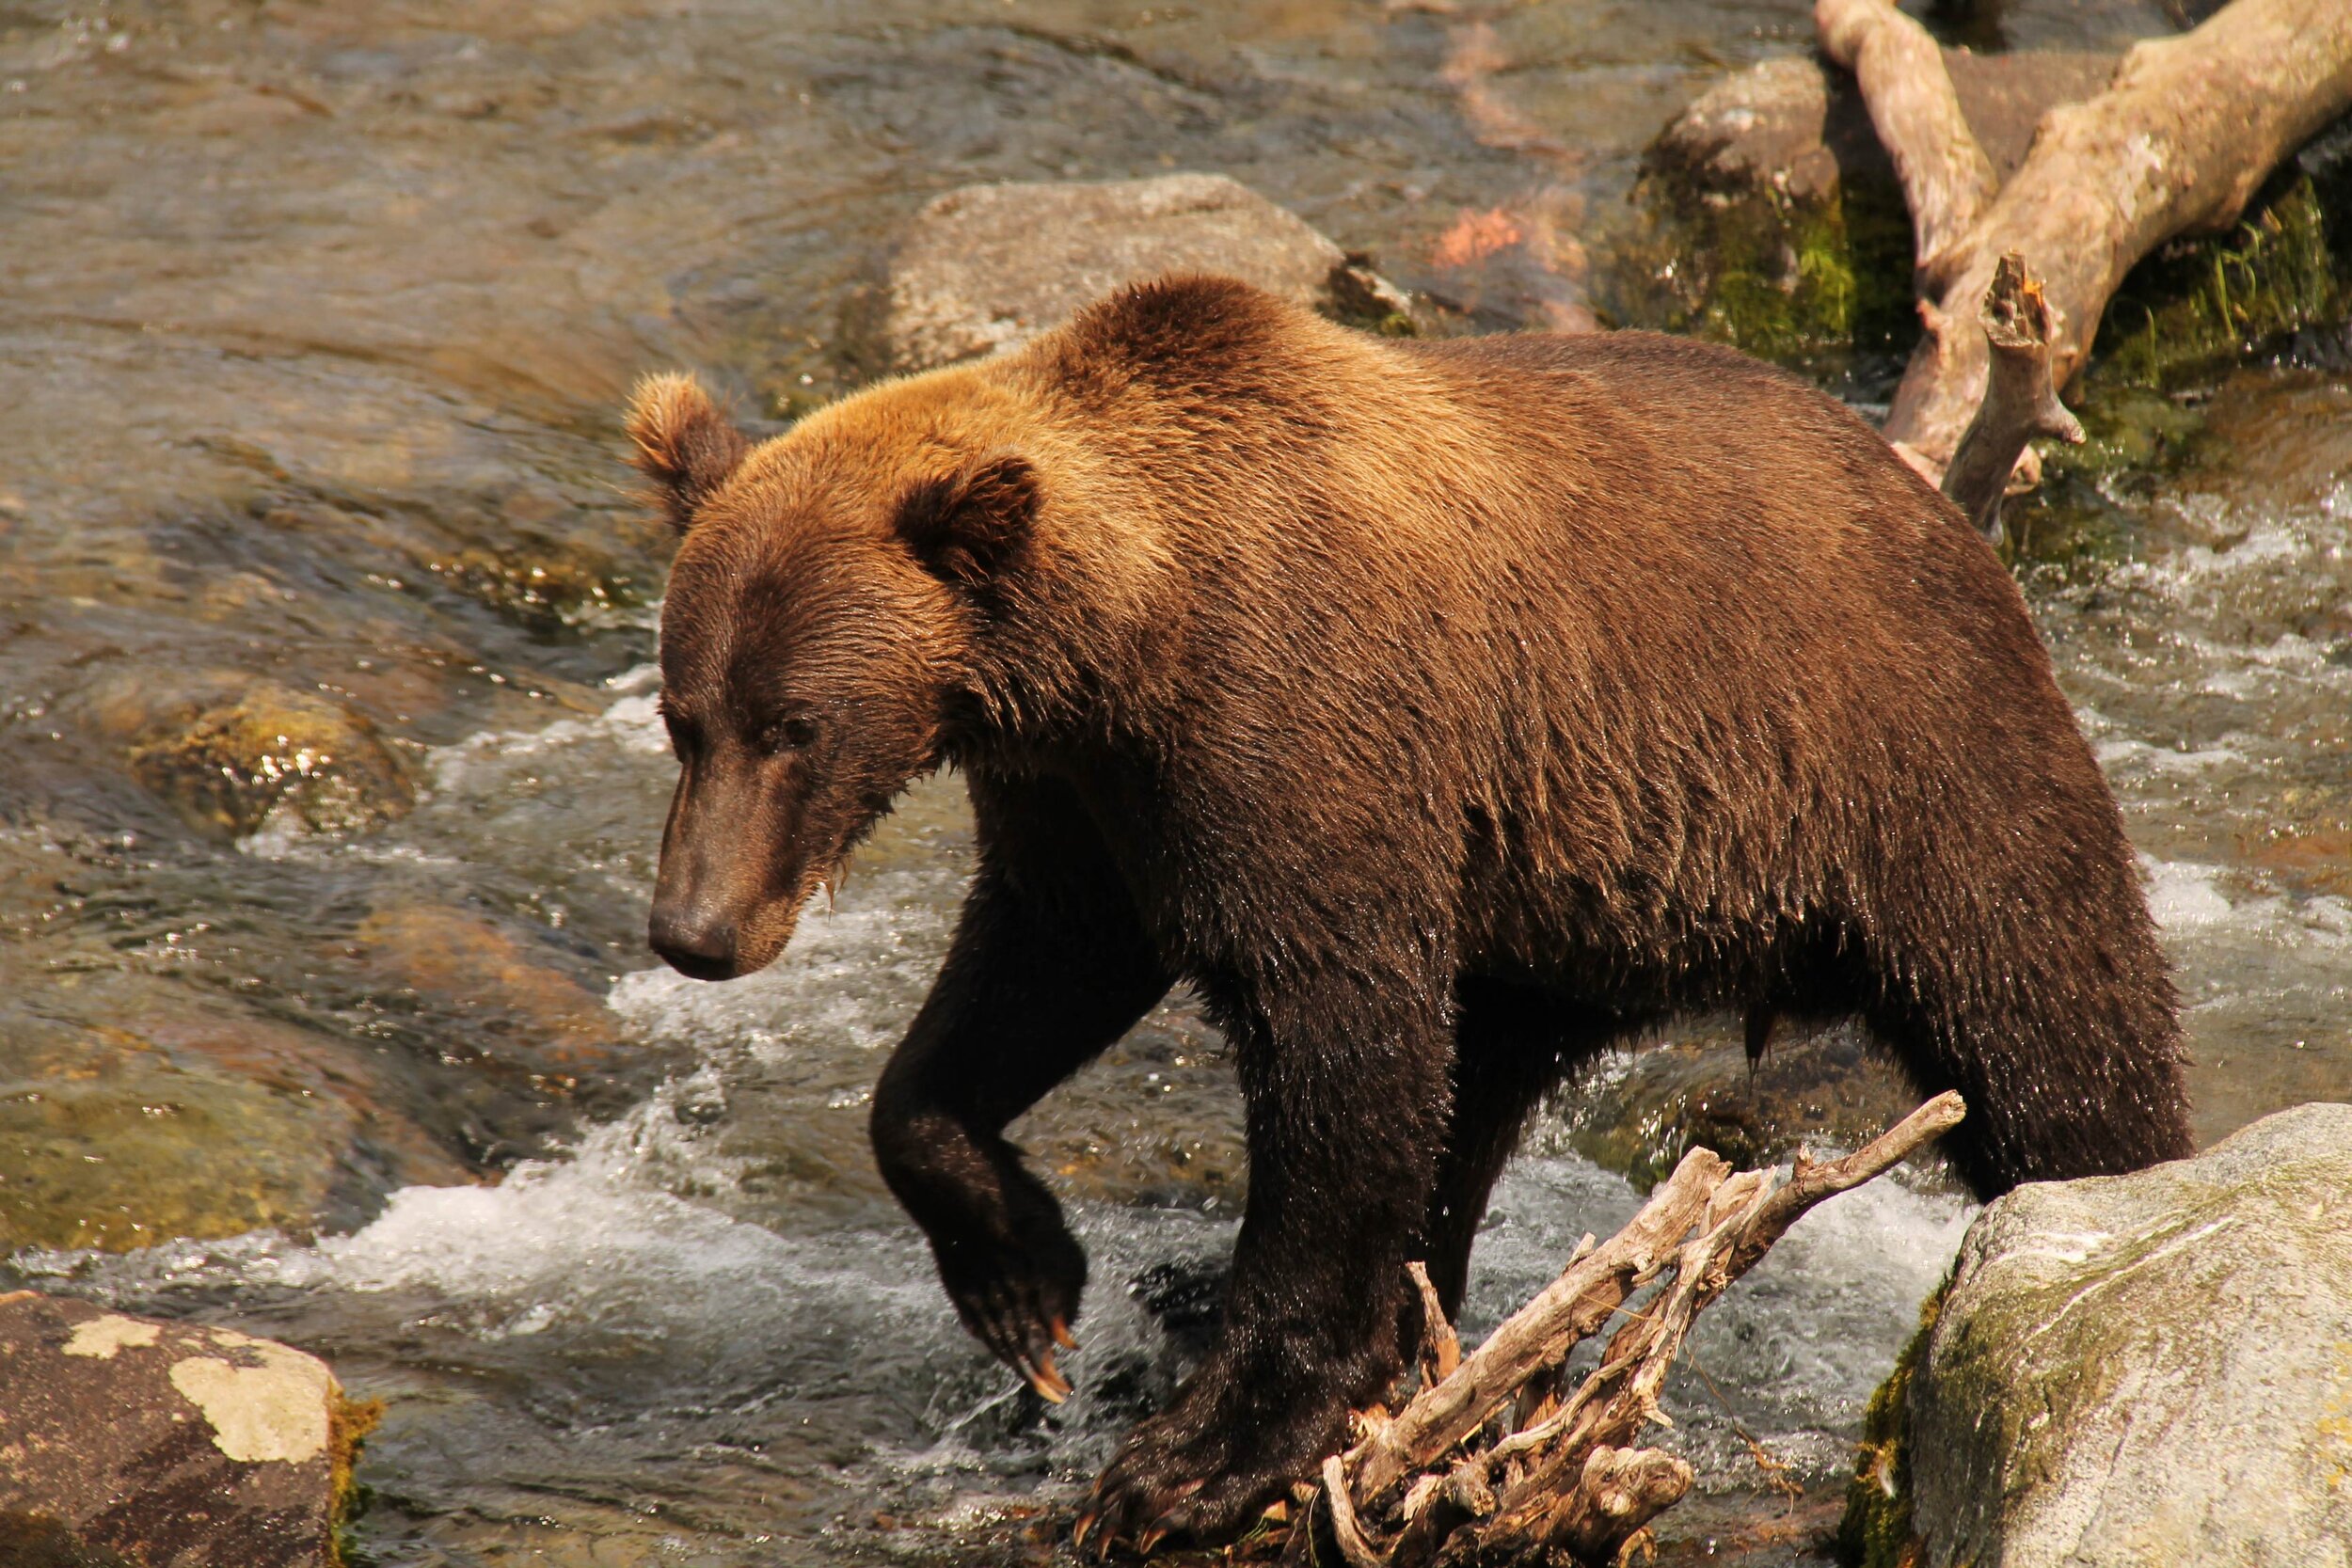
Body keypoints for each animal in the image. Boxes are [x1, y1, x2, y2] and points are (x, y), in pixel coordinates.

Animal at [626, 276, 2183, 1551]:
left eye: (797, 725)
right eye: (682, 713)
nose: (696, 929)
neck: (1126, 634)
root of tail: (1946, 512)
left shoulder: (1296, 734)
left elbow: (1339, 1053)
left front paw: (1192, 1456)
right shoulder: (1089, 799)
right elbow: (1028, 979)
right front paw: (1030, 1288)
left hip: (1903, 768)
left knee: (2053, 1027)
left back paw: (2112, 1199)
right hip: (1562, 911)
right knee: (1477, 1086)